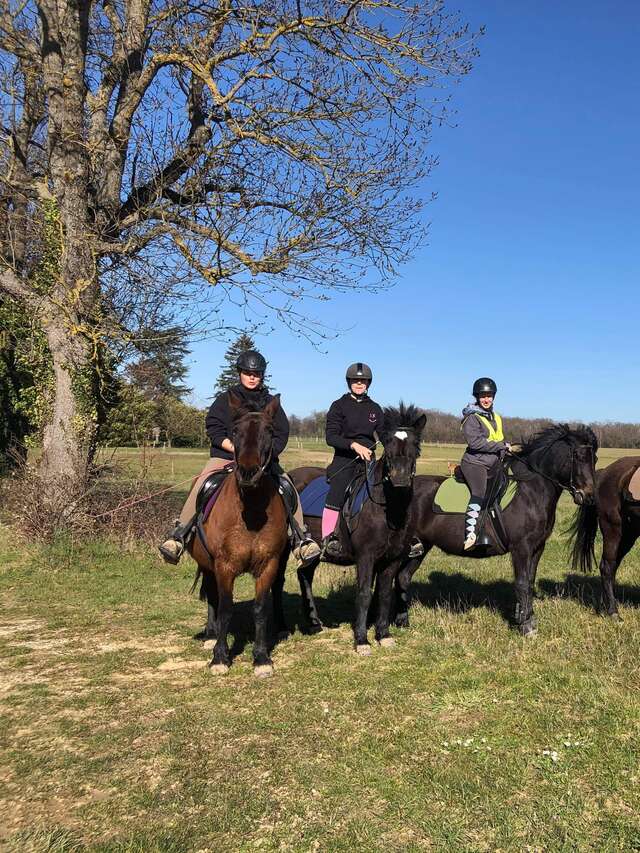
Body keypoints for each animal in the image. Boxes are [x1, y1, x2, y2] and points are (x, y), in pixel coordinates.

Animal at [190, 391, 289, 677]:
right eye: (234, 431)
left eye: (269, 430)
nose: (248, 473)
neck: (251, 513)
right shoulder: (224, 565)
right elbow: (224, 608)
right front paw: (220, 657)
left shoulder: (268, 564)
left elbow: (260, 609)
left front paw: (261, 657)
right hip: (208, 564)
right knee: (212, 596)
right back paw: (211, 635)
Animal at [289, 404, 427, 654]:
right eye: (388, 445)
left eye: (415, 445)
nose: (400, 479)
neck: (387, 508)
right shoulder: (365, 557)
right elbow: (363, 594)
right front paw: (362, 640)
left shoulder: (391, 559)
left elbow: (384, 595)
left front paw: (383, 635)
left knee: (304, 574)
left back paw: (314, 622)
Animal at [392, 424, 598, 637]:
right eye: (578, 456)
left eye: (595, 459)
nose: (589, 497)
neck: (530, 492)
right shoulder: (521, 548)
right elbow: (522, 584)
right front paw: (526, 627)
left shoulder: (537, 548)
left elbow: (530, 582)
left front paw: (527, 619)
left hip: (421, 546)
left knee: (403, 577)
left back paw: (403, 621)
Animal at [568, 456, 640, 620]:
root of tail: (604, 473)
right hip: (613, 529)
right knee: (607, 566)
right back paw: (613, 612)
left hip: (629, 533)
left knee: (612, 567)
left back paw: (606, 605)